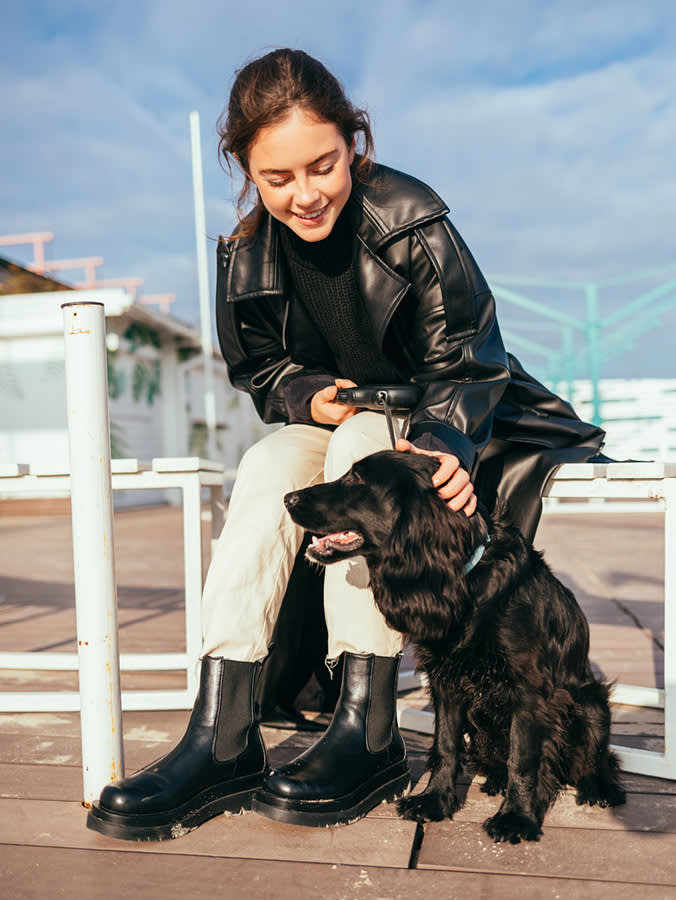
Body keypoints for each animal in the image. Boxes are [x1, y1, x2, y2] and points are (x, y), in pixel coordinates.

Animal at [282, 450, 624, 844]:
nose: (288, 498)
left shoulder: (529, 691)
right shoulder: (446, 681)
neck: (467, 580)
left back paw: (599, 788)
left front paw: (516, 818)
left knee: (598, 757)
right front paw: (434, 800)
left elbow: (523, 758)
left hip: (591, 703)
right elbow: (445, 746)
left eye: (356, 478)